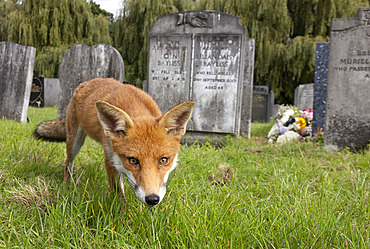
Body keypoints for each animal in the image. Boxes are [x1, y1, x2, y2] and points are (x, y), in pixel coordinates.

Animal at [35, 78, 195, 206]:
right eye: (133, 161)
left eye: (163, 160)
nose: (152, 199)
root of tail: (85, 83)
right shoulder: (111, 159)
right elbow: (118, 195)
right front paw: (124, 218)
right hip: (75, 141)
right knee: (68, 162)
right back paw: (68, 185)